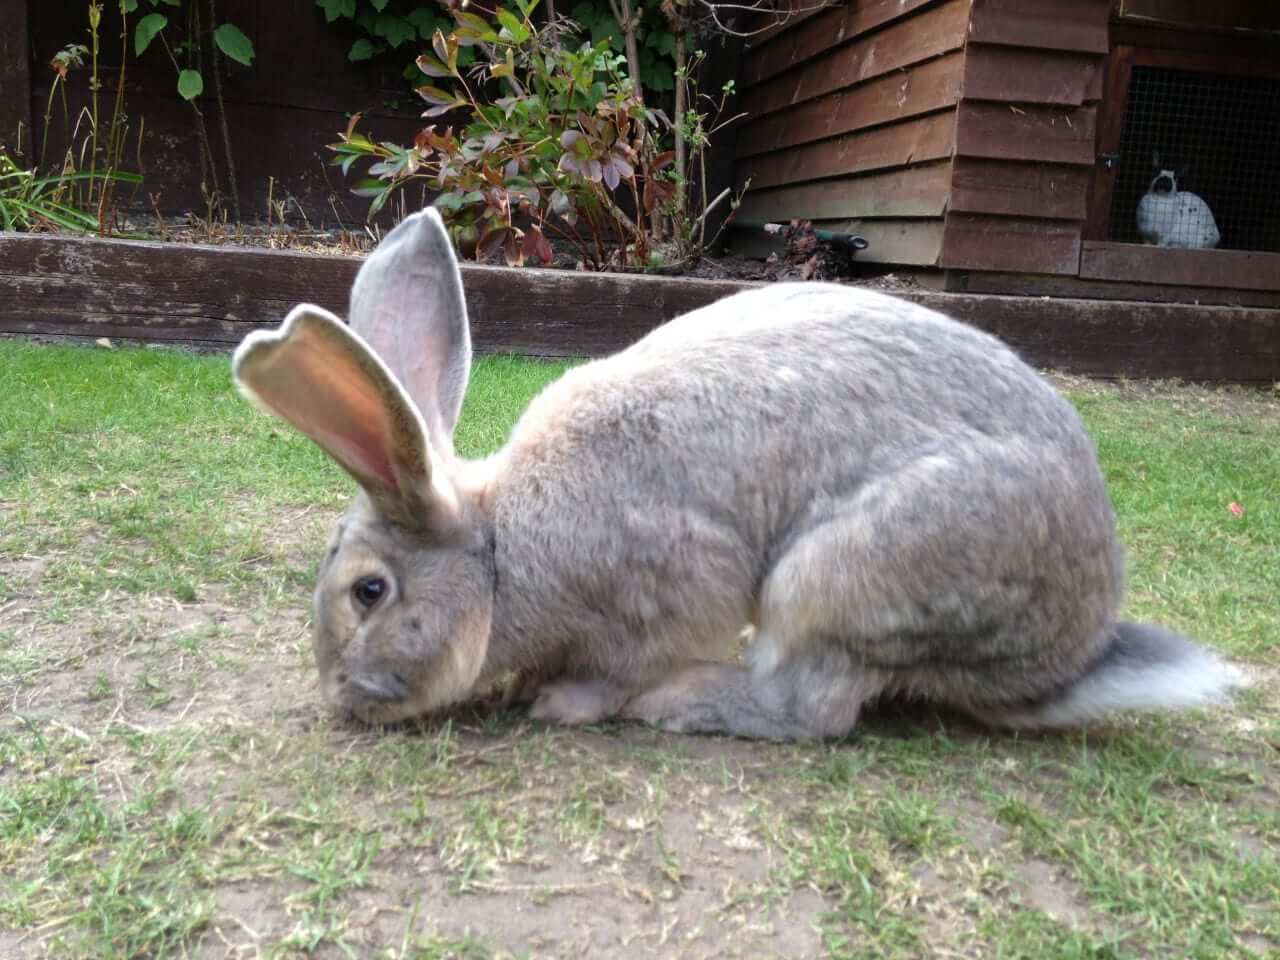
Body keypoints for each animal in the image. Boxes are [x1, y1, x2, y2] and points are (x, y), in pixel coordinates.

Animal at [230, 208, 1239, 737]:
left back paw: (684, 703)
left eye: (369, 592)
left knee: (813, 707)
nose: (339, 698)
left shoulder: (671, 587)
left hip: (841, 576)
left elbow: (615, 669)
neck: (500, 548)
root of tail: (1070, 652)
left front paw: (564, 702)